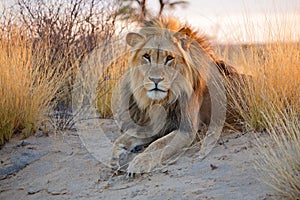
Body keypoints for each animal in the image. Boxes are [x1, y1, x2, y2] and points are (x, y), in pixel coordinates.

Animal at [110, 17, 244, 177]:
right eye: (146, 56)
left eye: (169, 58)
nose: (155, 80)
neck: (163, 100)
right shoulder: (154, 125)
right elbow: (120, 140)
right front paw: (117, 158)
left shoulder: (187, 130)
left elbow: (157, 145)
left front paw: (139, 163)